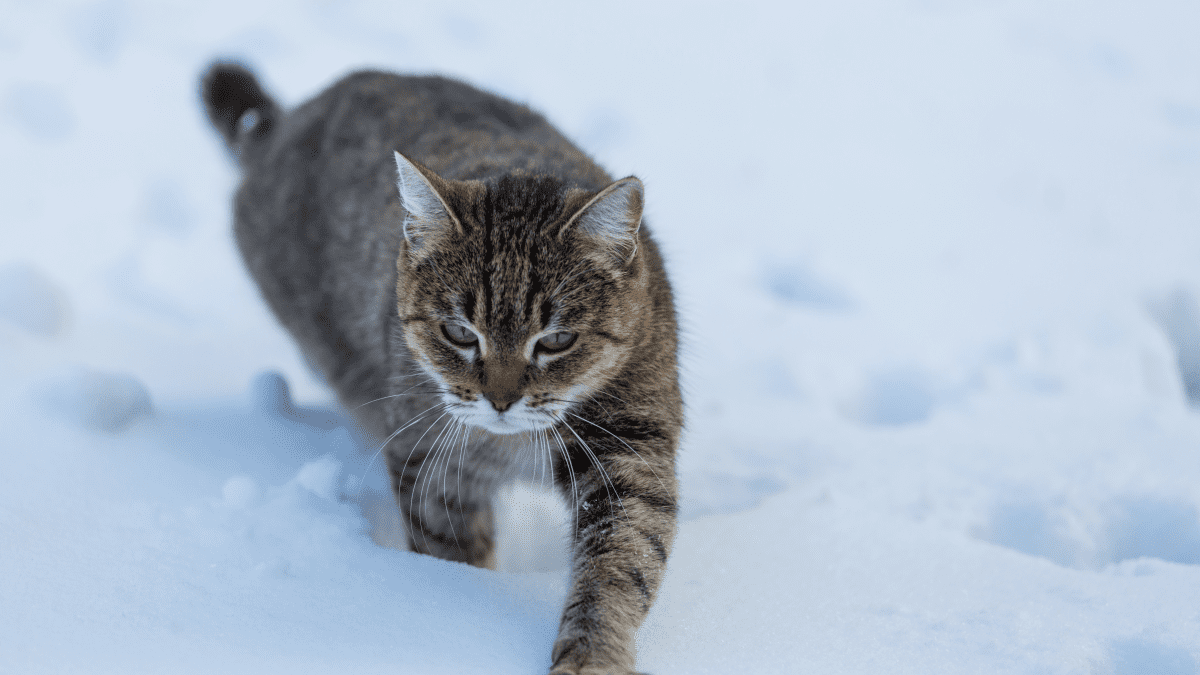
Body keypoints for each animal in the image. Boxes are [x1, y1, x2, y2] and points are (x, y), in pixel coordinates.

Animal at [201, 63, 681, 672]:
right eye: (459, 333)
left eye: (556, 340)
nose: (501, 400)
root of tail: (284, 122)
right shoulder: (434, 463)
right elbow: (453, 556)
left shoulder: (632, 449)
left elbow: (623, 565)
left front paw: (593, 651)